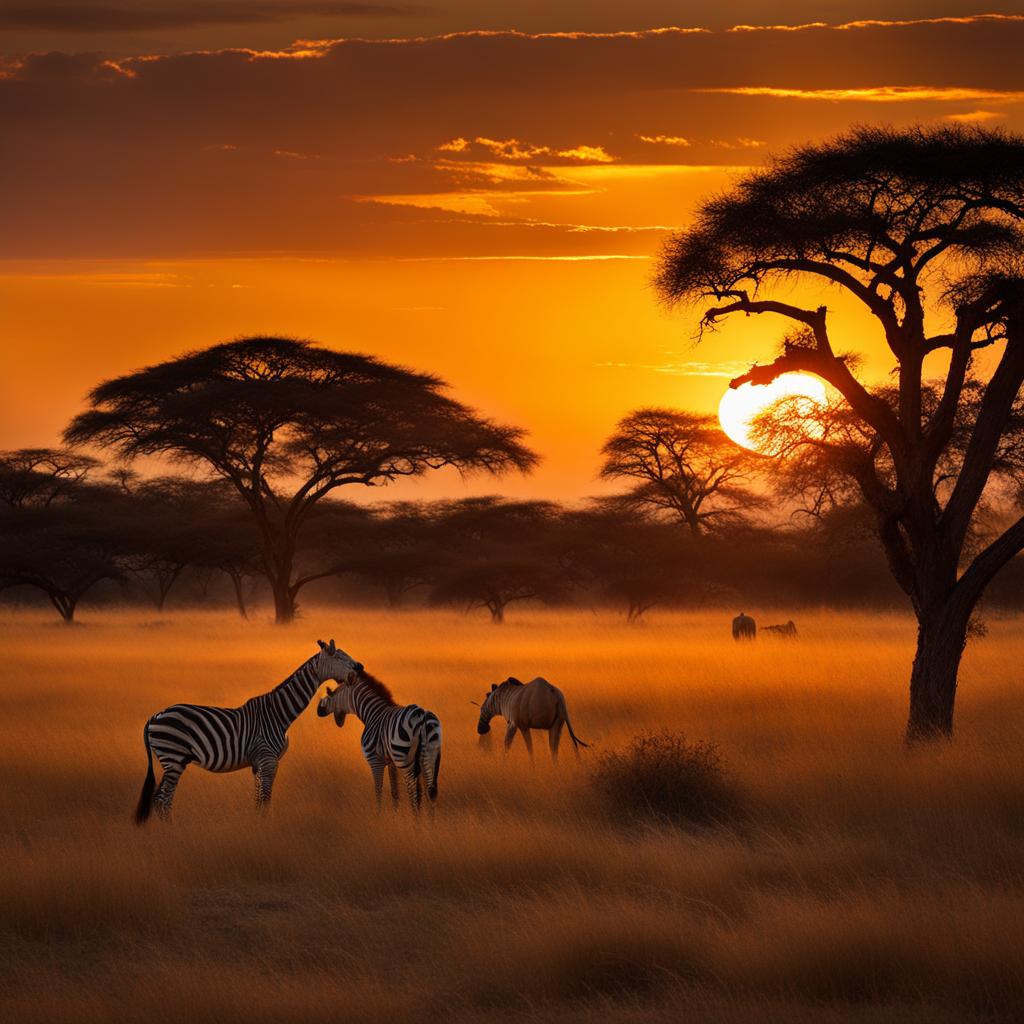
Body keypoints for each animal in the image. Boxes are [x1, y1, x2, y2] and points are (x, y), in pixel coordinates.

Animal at [134, 638, 362, 823]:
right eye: (340, 657)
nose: (360, 667)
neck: (279, 713)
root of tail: (155, 716)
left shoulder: (259, 763)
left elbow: (258, 799)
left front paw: (257, 828)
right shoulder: (268, 760)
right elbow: (265, 799)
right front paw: (266, 830)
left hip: (172, 761)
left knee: (159, 799)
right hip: (173, 757)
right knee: (162, 800)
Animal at [317, 671, 442, 815]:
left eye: (332, 692)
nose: (318, 710)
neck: (373, 714)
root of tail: (422, 717)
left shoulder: (375, 761)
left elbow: (378, 790)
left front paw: (379, 816)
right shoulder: (391, 761)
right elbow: (394, 791)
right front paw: (395, 815)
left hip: (404, 760)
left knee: (414, 792)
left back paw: (416, 820)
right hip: (430, 756)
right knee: (429, 792)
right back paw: (428, 821)